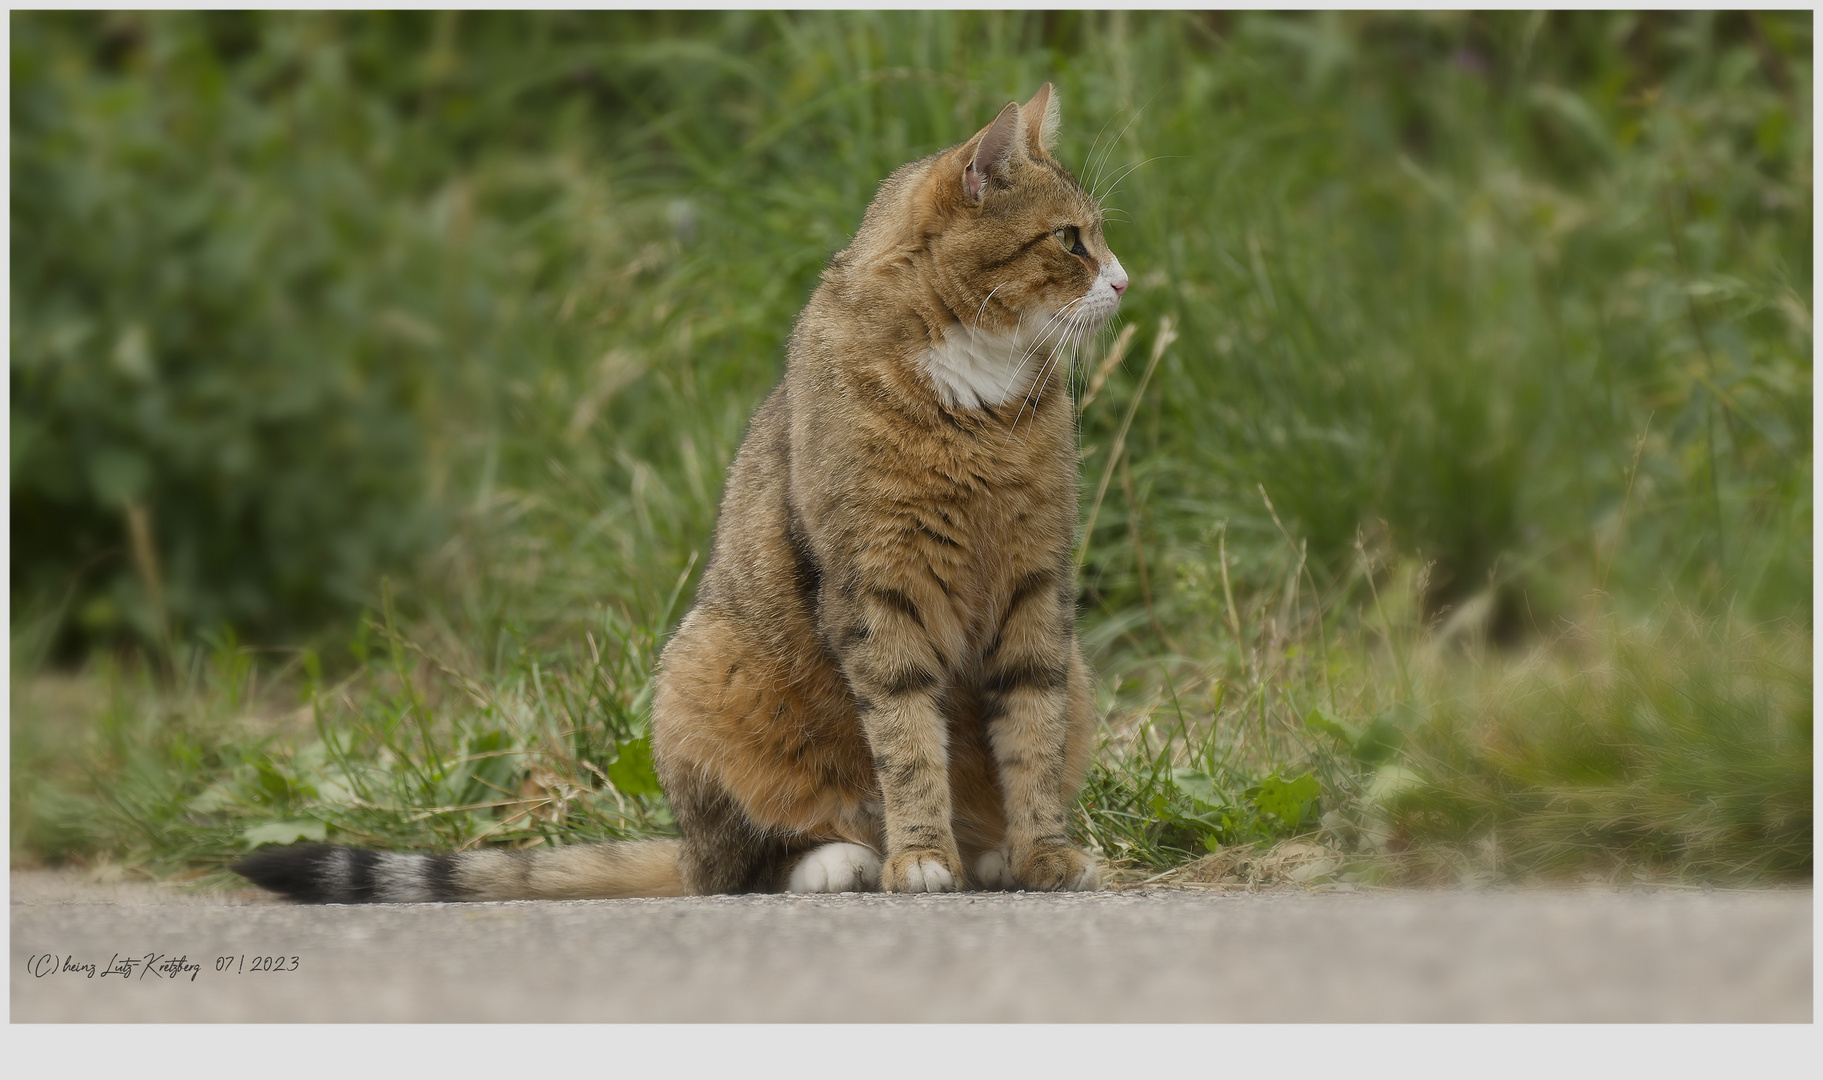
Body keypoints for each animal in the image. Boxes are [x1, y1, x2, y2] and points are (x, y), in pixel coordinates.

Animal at [235, 82, 1122, 901]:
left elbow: (1032, 736)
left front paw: (1042, 853)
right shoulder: (878, 592)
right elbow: (905, 743)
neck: (979, 393)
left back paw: (991, 853)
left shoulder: (1035, 587)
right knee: (735, 866)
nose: (1123, 280)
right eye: (1069, 239)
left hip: (1075, 670)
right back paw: (847, 860)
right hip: (703, 669)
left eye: (1098, 235)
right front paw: (921, 857)